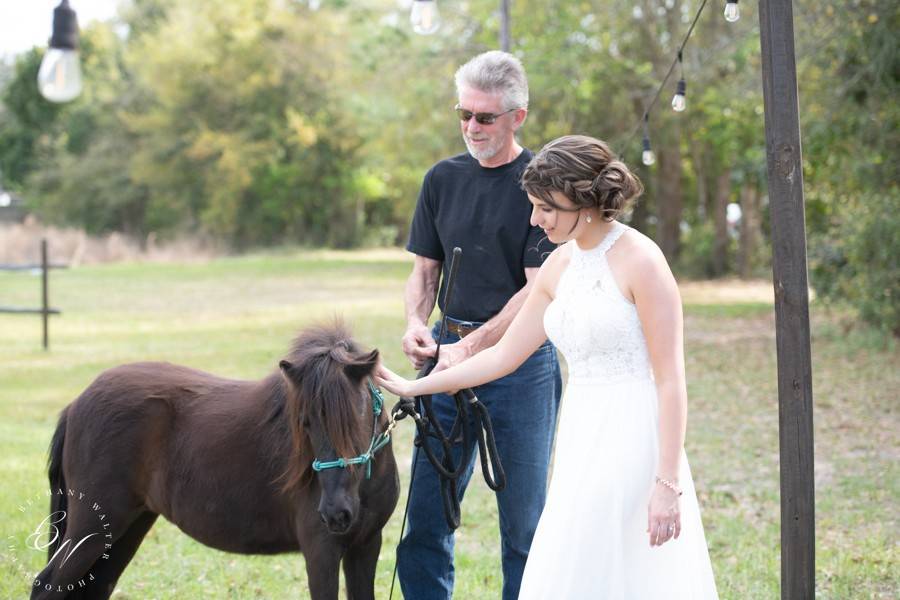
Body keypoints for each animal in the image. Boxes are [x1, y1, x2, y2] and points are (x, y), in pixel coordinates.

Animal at [29, 326, 400, 596]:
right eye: (305, 422)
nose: (336, 513)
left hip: (126, 526)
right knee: (46, 585)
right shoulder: (321, 551)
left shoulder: (365, 546)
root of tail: (75, 404)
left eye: (357, 416)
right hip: (92, 528)